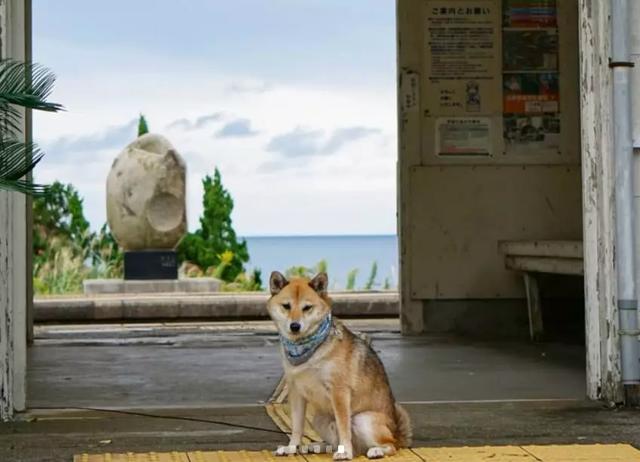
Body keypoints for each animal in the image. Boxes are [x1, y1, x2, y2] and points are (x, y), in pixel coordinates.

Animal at [268, 270, 412, 458]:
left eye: (307, 308)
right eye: (286, 306)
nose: (295, 326)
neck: (309, 351)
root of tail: (396, 433)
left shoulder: (339, 391)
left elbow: (344, 428)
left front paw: (345, 453)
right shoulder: (296, 391)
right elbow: (297, 427)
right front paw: (292, 447)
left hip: (363, 419)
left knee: (390, 445)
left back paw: (375, 450)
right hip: (320, 419)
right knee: (333, 442)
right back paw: (318, 446)